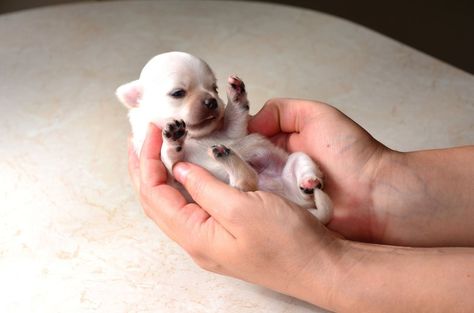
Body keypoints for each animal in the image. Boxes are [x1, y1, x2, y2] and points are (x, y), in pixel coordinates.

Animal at [117, 51, 334, 223]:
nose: (212, 101)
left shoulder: (230, 133)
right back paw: (227, 156)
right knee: (245, 182)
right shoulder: (172, 172)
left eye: (214, 88)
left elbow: (235, 119)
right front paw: (173, 136)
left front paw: (237, 94)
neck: (198, 137)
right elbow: (169, 157)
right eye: (178, 93)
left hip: (296, 159)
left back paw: (309, 182)